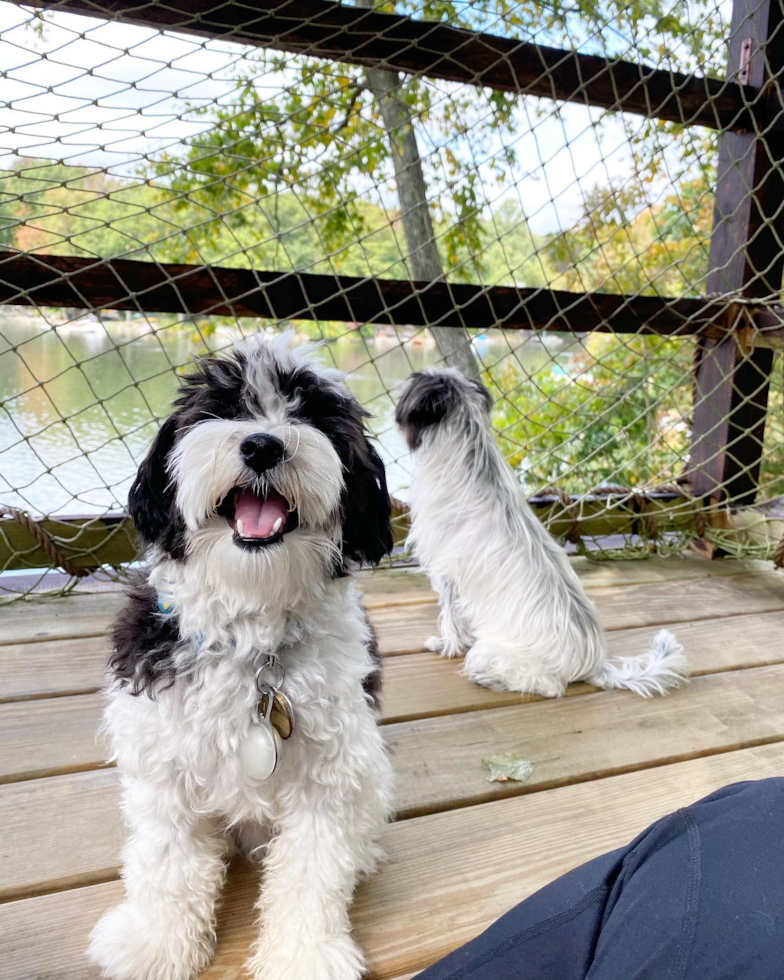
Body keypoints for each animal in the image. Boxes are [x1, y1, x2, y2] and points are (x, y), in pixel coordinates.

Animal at [89, 334, 396, 980]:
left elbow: (311, 872)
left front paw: (304, 956)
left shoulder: (330, 775)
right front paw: (155, 942)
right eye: (221, 408)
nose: (262, 444)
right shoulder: (164, 762)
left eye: (313, 416)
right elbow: (167, 860)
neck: (253, 633)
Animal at [398, 366, 688, 696]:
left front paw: (447, 645)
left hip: (492, 655)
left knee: (549, 687)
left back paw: (487, 678)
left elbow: (450, 617)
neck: (470, 454)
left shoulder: (446, 574)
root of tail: (593, 664)